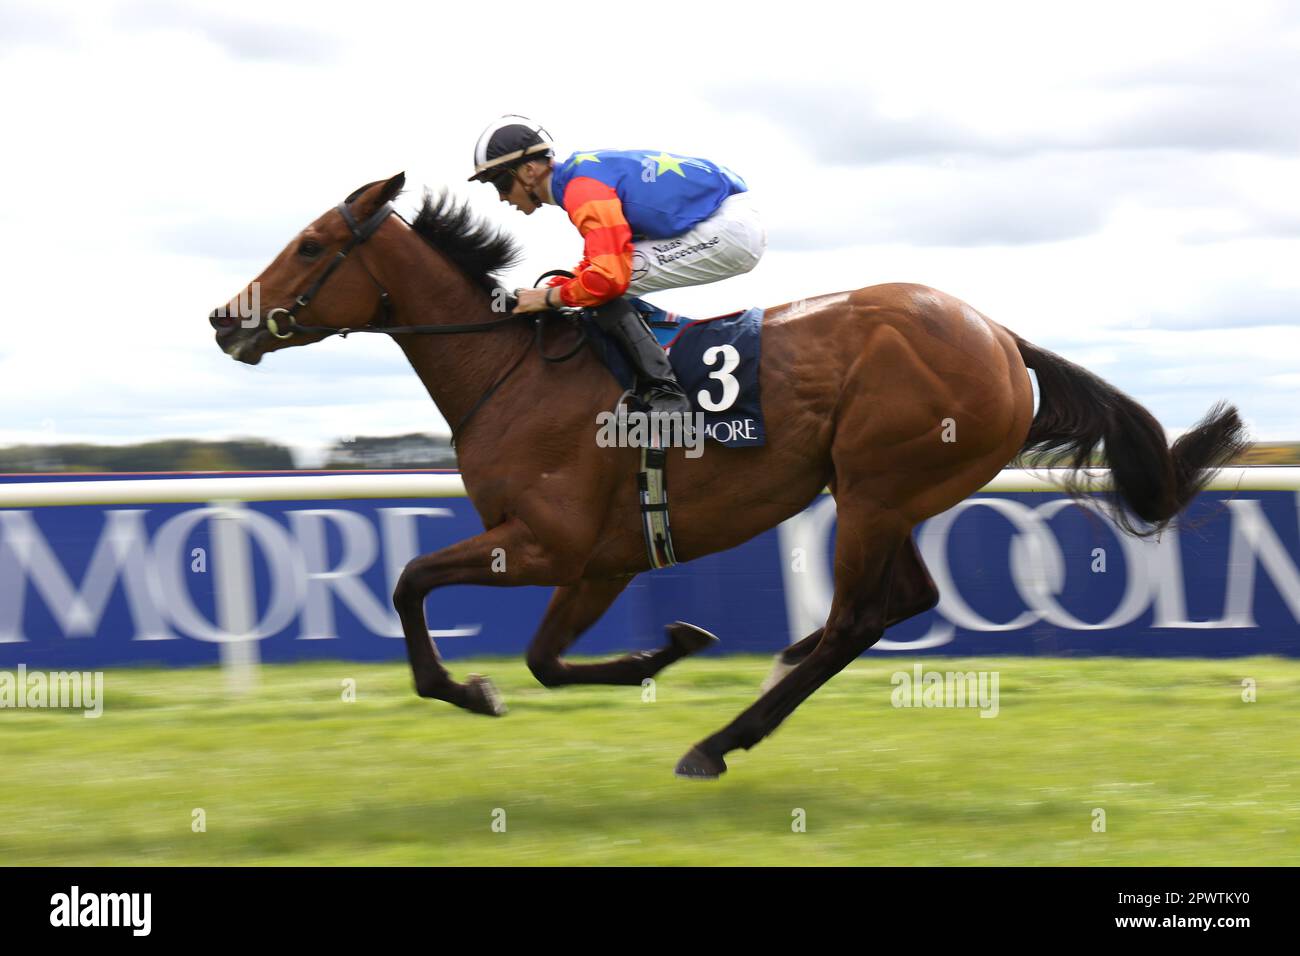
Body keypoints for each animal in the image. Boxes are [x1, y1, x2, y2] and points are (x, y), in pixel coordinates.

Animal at [208, 174, 1242, 780]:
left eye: (310, 245)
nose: (226, 319)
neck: (509, 370)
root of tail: (996, 334)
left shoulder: (543, 544)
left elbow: (410, 580)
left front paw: (470, 690)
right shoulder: (602, 560)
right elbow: (544, 658)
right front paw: (661, 649)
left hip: (875, 487)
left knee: (858, 617)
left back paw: (719, 742)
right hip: (884, 493)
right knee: (898, 601)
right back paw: (754, 695)